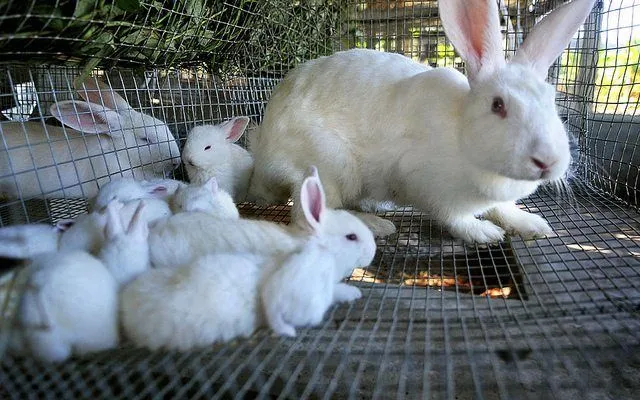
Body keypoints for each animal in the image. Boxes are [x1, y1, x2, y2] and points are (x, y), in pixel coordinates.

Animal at [248, 0, 596, 242]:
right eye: (498, 105)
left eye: (552, 100)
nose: (548, 161)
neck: (462, 137)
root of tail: (264, 158)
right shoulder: (430, 188)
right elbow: (454, 219)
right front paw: (483, 233)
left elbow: (504, 208)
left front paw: (534, 225)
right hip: (329, 167)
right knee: (310, 214)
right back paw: (376, 225)